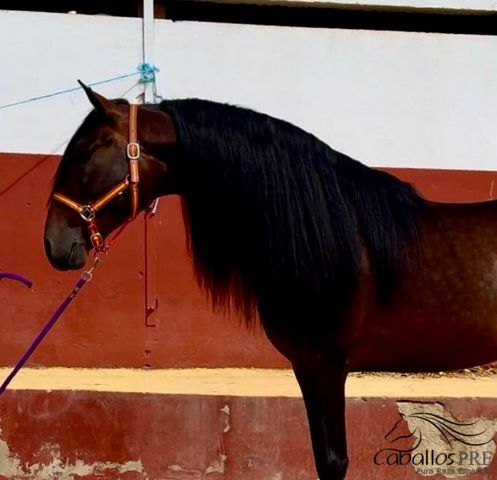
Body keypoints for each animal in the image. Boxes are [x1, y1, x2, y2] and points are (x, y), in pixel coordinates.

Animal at [43, 86, 496, 480]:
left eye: (85, 151)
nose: (53, 242)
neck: (334, 233)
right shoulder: (311, 368)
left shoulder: (324, 365)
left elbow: (332, 461)